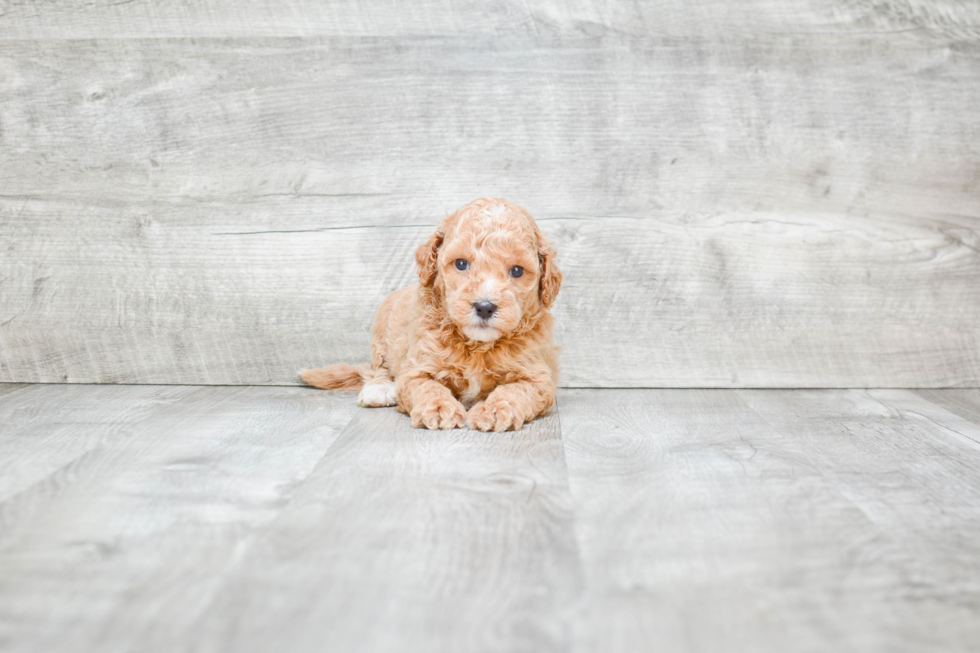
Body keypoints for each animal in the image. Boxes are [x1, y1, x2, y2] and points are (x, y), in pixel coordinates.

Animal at [298, 196, 564, 430]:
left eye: (517, 270)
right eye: (461, 264)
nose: (484, 306)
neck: (477, 347)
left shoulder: (538, 376)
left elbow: (516, 390)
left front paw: (495, 410)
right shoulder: (416, 369)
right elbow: (427, 387)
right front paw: (438, 408)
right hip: (382, 329)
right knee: (379, 367)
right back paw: (379, 389)